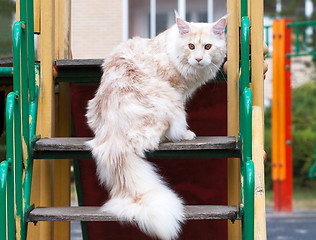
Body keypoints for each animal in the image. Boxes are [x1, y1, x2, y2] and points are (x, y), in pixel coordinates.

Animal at [85, 13, 226, 240]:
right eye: (191, 46)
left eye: (208, 47)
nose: (198, 59)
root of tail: (114, 136)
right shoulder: (177, 90)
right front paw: (187, 134)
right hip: (169, 101)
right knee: (163, 135)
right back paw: (183, 135)